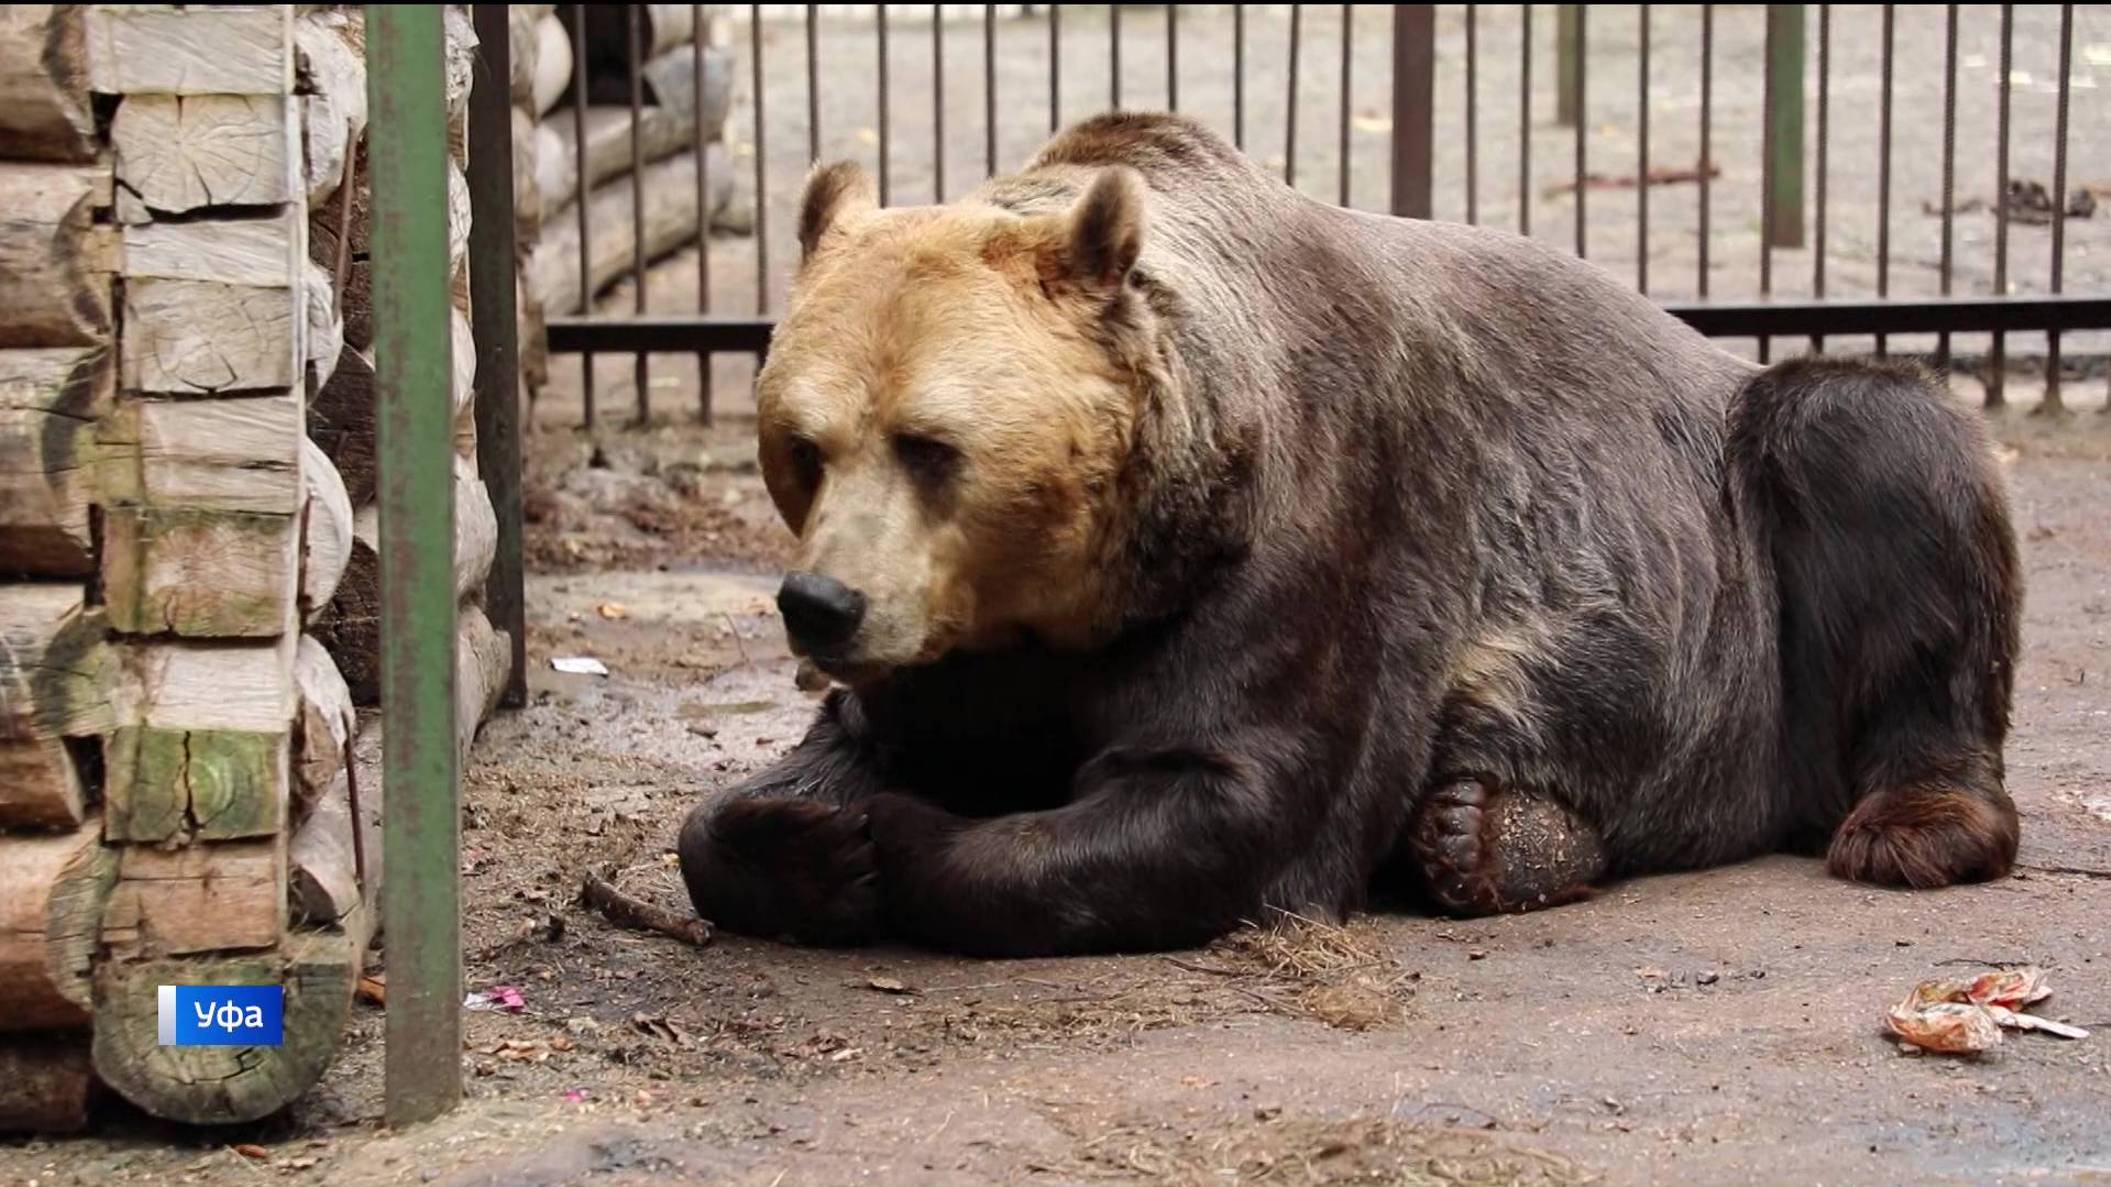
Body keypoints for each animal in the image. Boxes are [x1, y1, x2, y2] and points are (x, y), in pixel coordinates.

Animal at [671, 110, 2009, 954]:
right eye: (801, 441)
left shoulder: (1318, 529)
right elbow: (793, 778)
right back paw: (1494, 835)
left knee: (1872, 441)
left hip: (1736, 572)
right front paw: (800, 832)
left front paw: (886, 839)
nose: (820, 604)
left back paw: (1907, 823)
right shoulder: (962, 642)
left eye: (929, 443)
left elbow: (1227, 795)